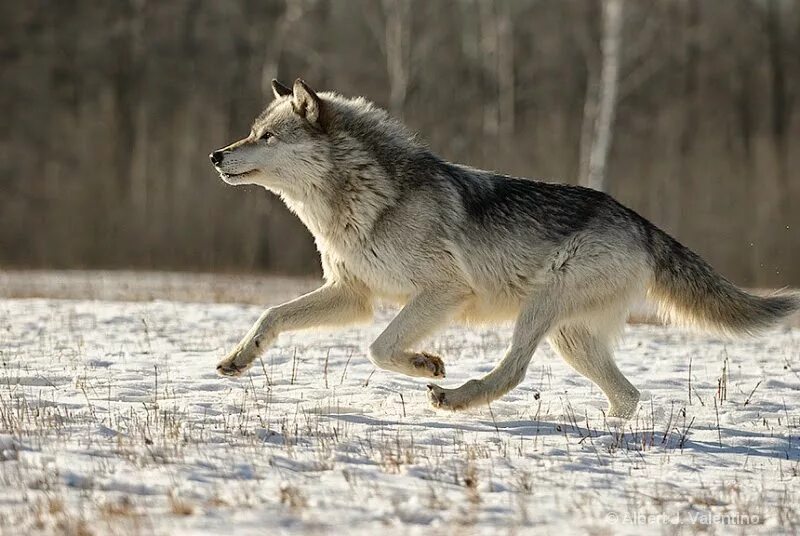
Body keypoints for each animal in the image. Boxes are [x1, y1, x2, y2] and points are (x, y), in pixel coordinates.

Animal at [208, 78, 800, 418]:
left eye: (265, 137)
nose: (215, 155)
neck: (361, 201)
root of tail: (641, 222)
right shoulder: (351, 295)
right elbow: (271, 316)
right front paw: (238, 359)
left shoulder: (443, 292)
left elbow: (379, 348)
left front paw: (426, 364)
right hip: (569, 337)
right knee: (627, 395)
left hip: (540, 311)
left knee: (515, 370)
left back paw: (457, 398)